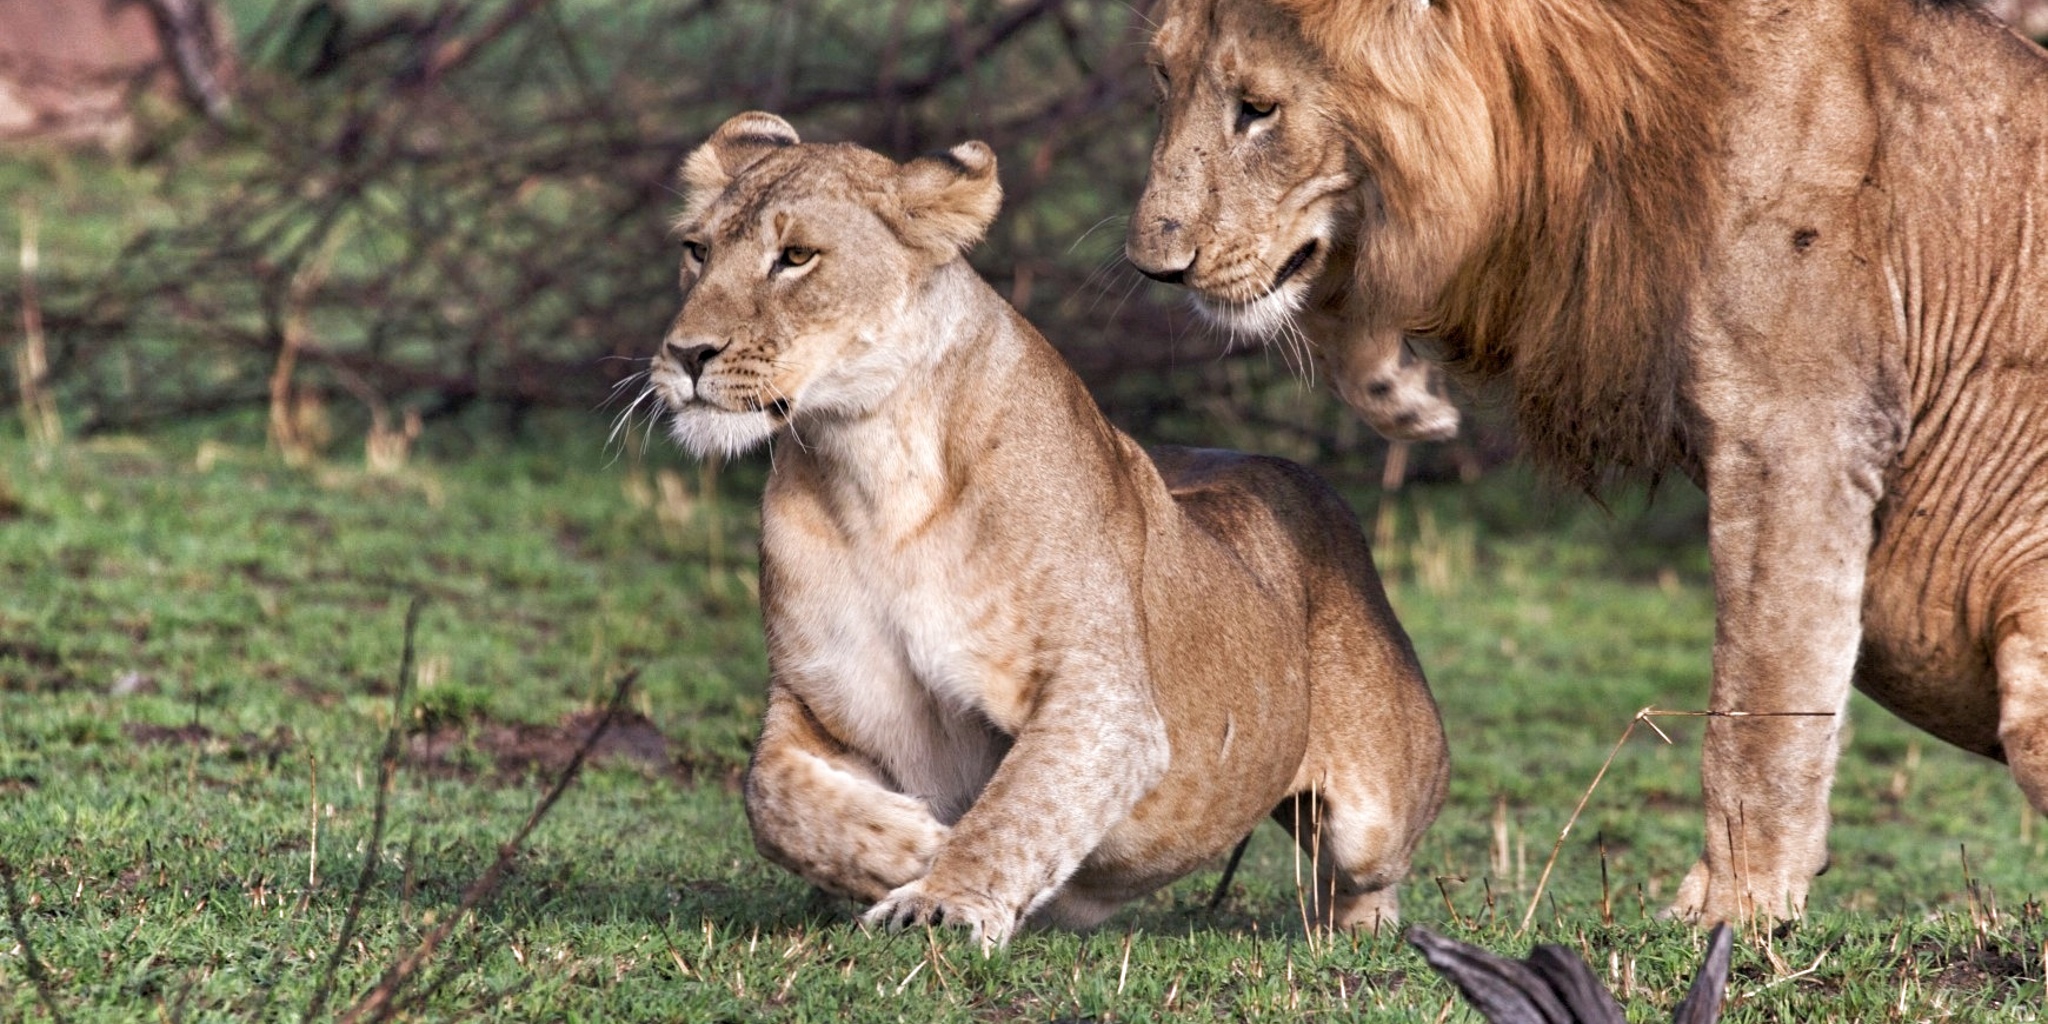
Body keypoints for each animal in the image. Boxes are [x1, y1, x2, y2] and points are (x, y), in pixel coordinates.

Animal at [646, 112, 1449, 948]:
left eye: (796, 256)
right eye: (697, 250)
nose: (685, 354)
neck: (870, 472)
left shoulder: (1105, 701)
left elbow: (1021, 804)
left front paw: (944, 897)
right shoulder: (819, 696)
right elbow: (769, 798)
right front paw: (912, 846)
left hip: (1380, 806)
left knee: (1368, 873)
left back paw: (1360, 936)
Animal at [1125, 0, 2048, 925]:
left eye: (1259, 109)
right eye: (1164, 78)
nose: (1153, 270)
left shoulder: (1799, 432)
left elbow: (1760, 708)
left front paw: (1734, 910)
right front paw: (1402, 396)